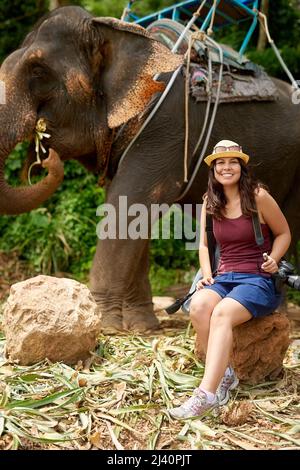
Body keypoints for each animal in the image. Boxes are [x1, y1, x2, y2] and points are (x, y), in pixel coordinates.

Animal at [0, 5, 300, 332]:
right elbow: (133, 214)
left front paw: (102, 323)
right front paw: (141, 325)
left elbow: (129, 203)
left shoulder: (165, 128)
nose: (44, 156)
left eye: (38, 70)